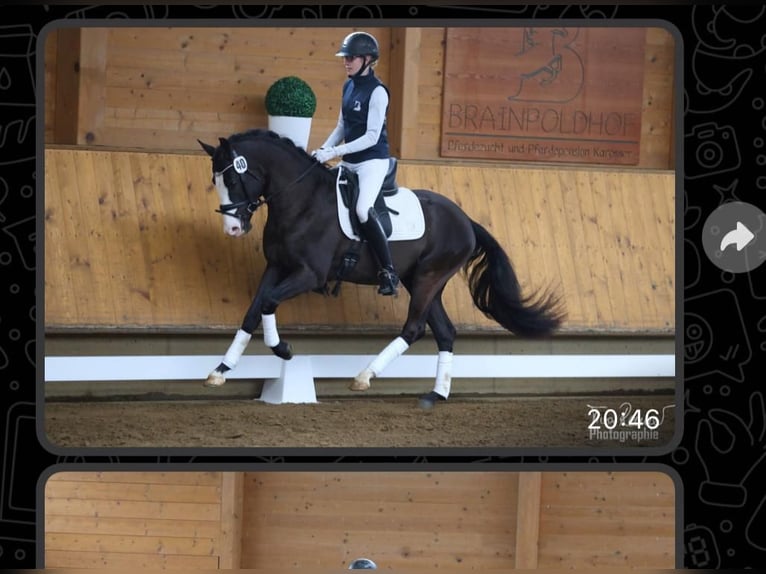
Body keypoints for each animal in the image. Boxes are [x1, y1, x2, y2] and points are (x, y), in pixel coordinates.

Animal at [198, 130, 568, 410]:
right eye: (214, 180)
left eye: (232, 178)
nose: (233, 228)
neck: (301, 200)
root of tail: (465, 220)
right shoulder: (276, 266)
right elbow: (253, 311)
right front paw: (221, 369)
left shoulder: (309, 274)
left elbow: (269, 302)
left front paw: (283, 349)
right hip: (423, 281)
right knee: (444, 332)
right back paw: (435, 395)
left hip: (428, 279)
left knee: (414, 328)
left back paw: (364, 377)